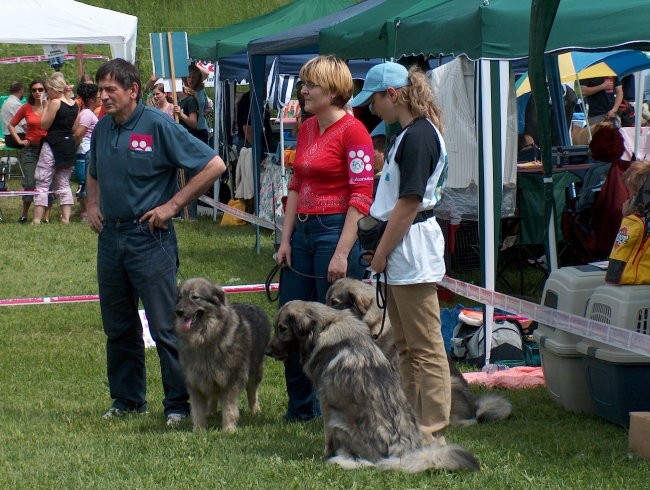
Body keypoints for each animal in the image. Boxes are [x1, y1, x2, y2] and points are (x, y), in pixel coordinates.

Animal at [173, 278, 270, 430]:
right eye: (180, 297)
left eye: (195, 297)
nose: (179, 311)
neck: (205, 337)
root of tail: (257, 307)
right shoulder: (195, 381)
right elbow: (197, 410)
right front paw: (198, 430)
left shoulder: (230, 380)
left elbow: (229, 408)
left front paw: (229, 429)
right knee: (214, 396)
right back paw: (211, 412)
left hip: (255, 369)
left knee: (252, 391)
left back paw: (255, 411)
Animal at [266, 300, 478, 472]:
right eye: (276, 327)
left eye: (282, 328)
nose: (267, 351)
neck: (326, 325)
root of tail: (400, 453)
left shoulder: (326, 402)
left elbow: (327, 436)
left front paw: (325, 453)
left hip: (339, 421)